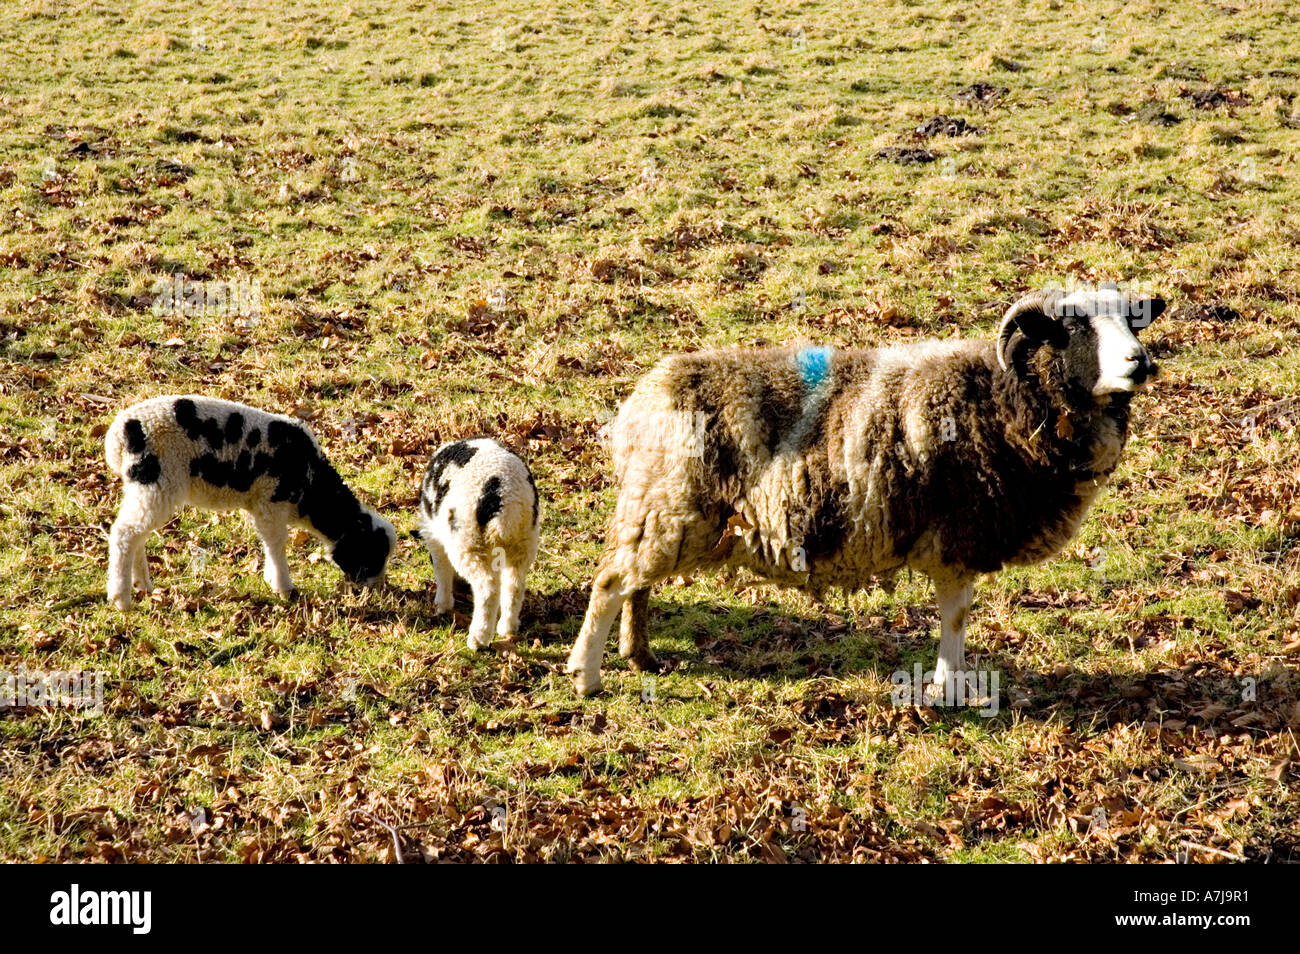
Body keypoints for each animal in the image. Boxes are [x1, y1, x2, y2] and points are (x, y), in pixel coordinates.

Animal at [105, 397, 395, 613]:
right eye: (371, 554)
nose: (378, 589)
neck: (312, 487)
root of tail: (121, 434)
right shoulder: (271, 501)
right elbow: (276, 542)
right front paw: (284, 587)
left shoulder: (262, 506)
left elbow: (269, 541)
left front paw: (271, 579)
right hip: (157, 483)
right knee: (124, 534)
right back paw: (121, 598)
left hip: (144, 489)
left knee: (136, 534)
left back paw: (142, 584)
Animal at [413, 439, 540, 649]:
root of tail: (505, 500)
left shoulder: (433, 535)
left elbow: (441, 569)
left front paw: (442, 605)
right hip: (524, 541)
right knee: (514, 586)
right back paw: (507, 628)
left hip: (466, 541)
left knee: (487, 589)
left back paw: (478, 639)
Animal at [569, 283, 1170, 696]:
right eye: (1073, 328)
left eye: (1133, 321)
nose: (1140, 362)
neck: (1006, 397)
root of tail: (639, 402)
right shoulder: (956, 535)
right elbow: (956, 614)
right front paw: (947, 688)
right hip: (669, 505)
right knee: (611, 583)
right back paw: (587, 676)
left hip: (662, 509)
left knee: (636, 583)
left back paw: (641, 657)